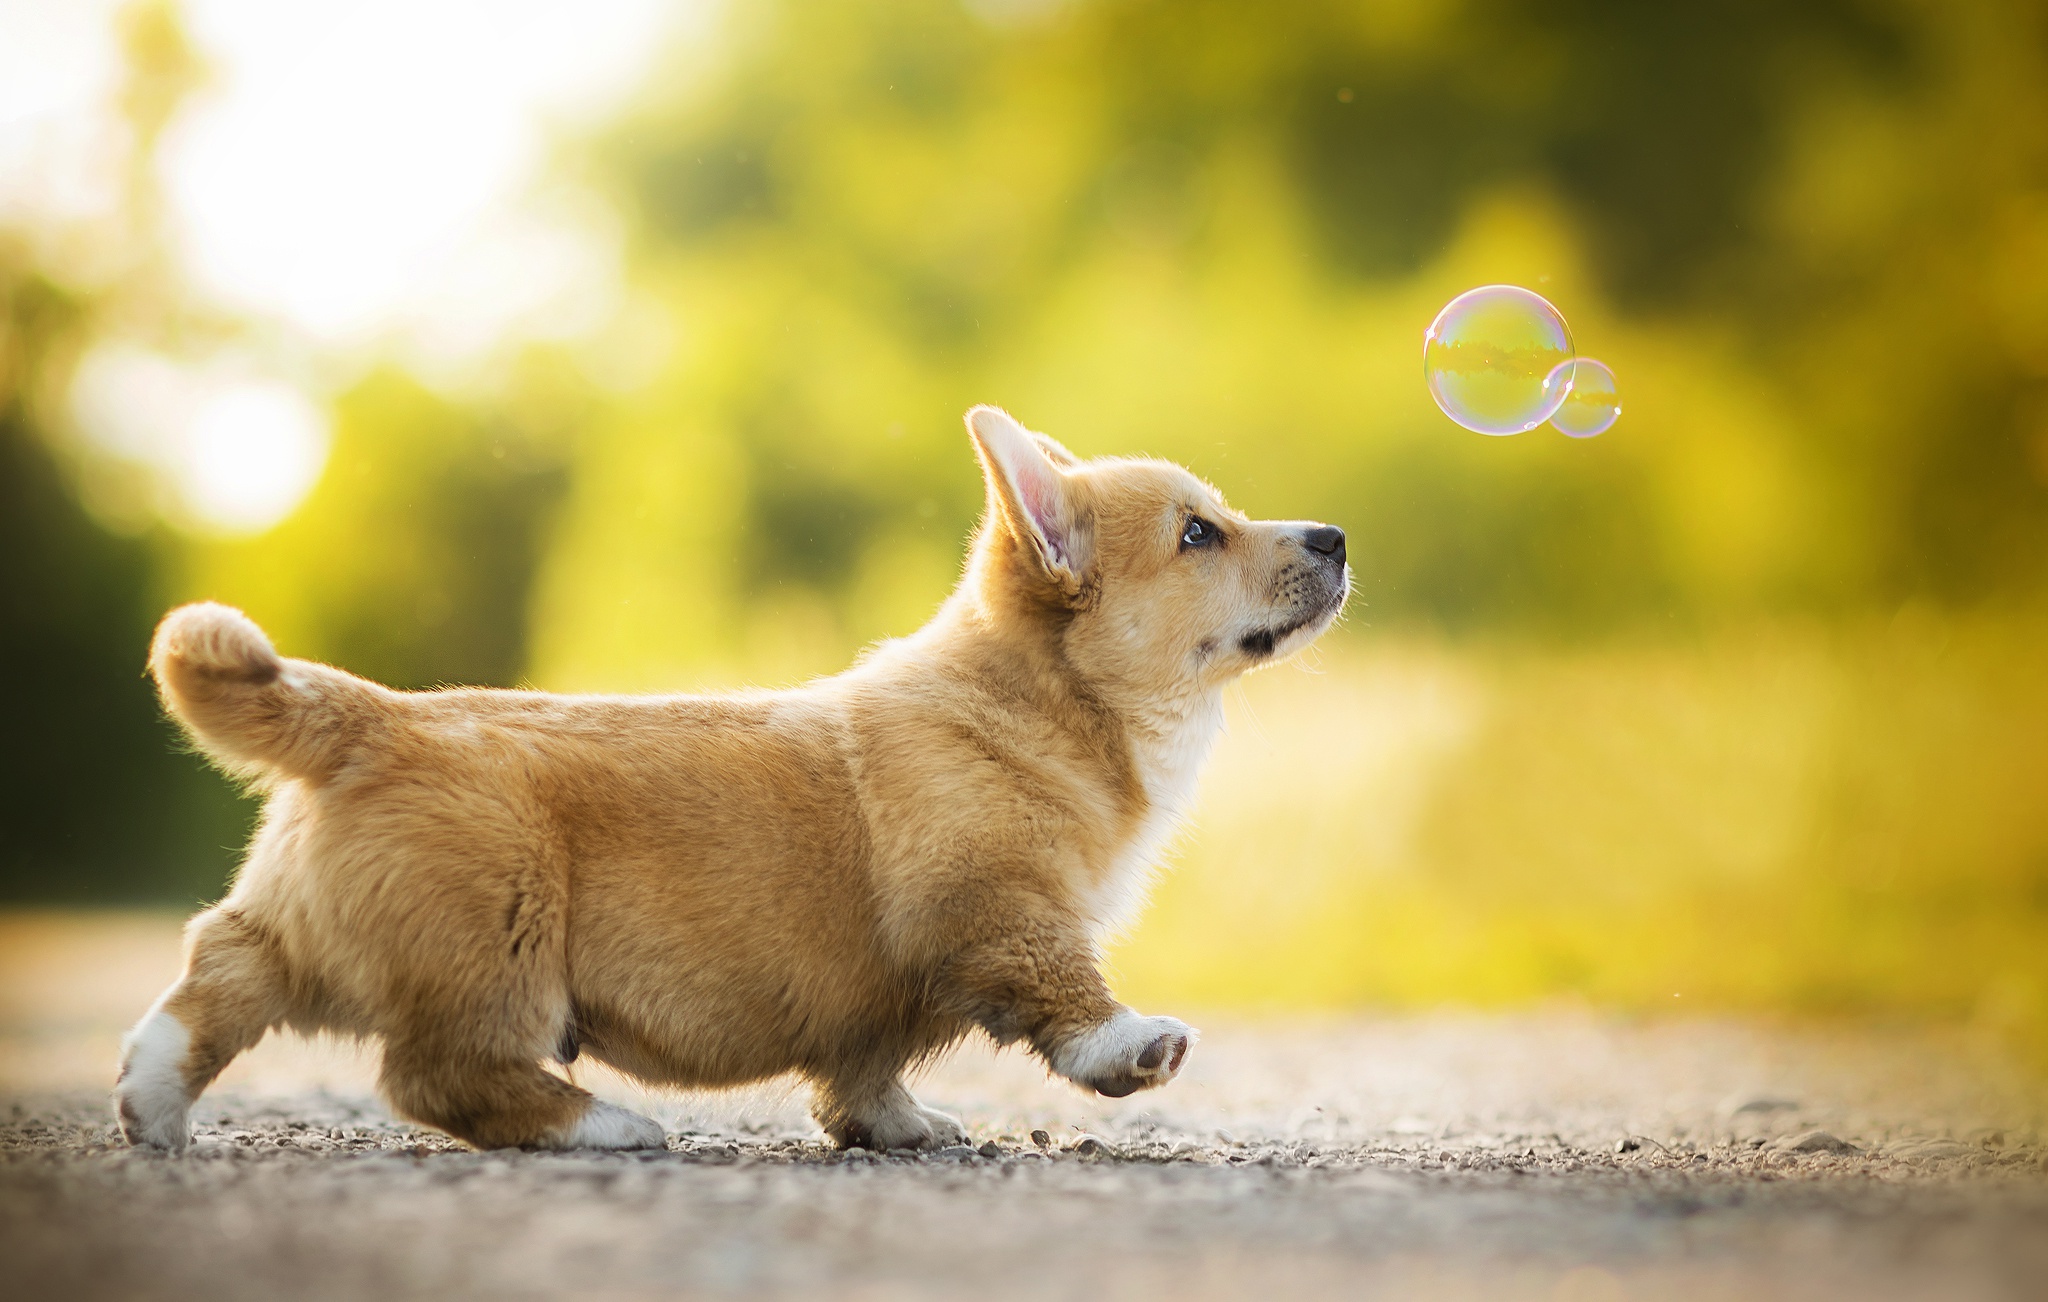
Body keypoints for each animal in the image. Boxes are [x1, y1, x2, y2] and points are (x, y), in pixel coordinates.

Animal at [119, 405, 1351, 1146]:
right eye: (1198, 534)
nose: (1335, 535)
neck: (1052, 704)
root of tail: (371, 718)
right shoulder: (995, 905)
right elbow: (1063, 989)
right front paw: (1129, 1046)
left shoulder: (877, 1001)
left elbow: (864, 1071)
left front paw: (899, 1129)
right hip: (499, 940)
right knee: (434, 1073)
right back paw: (599, 1125)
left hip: (310, 927)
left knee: (221, 968)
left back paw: (148, 1099)